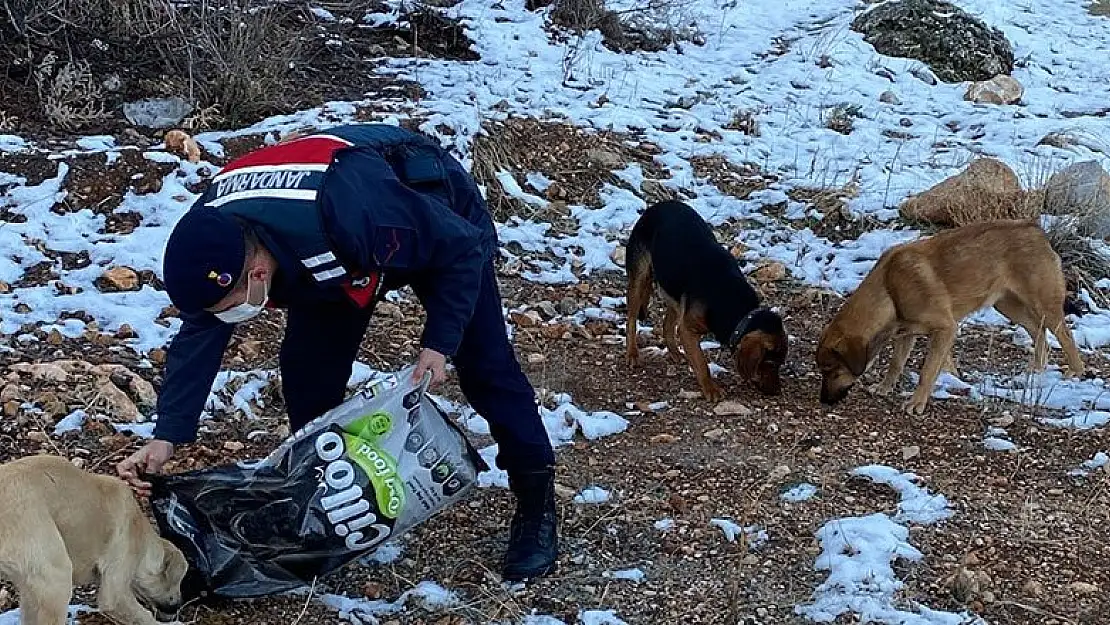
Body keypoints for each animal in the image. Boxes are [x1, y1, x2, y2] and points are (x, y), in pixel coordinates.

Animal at [626, 203, 790, 404]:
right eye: (771, 363)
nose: (777, 392)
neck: (731, 301)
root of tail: (657, 206)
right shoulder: (687, 330)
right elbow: (701, 362)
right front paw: (711, 389)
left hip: (674, 289)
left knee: (667, 322)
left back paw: (674, 352)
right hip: (640, 275)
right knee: (631, 318)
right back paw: (632, 354)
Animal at [816, 219, 1083, 415]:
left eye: (833, 371)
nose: (824, 401)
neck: (889, 289)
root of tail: (1036, 230)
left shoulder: (945, 328)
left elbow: (927, 371)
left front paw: (917, 403)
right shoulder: (907, 333)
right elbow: (896, 363)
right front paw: (885, 387)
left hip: (1044, 306)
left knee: (1066, 335)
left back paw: (1076, 371)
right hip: (1008, 306)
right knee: (1038, 333)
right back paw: (1036, 369)